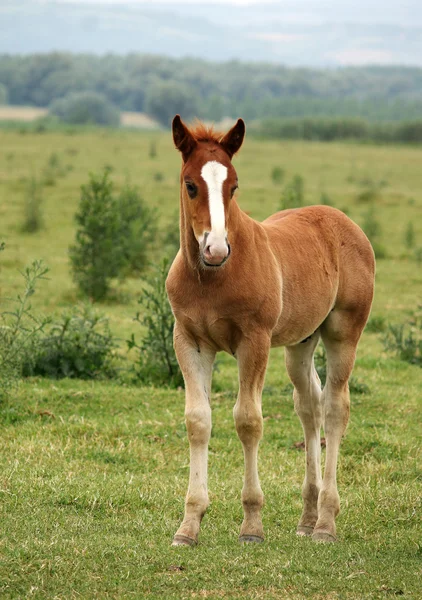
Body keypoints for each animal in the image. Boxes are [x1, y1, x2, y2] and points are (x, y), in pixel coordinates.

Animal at [166, 115, 374, 548]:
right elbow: (198, 420)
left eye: (234, 186)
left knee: (335, 408)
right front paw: (189, 525)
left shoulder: (254, 341)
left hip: (344, 332)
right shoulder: (189, 341)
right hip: (300, 343)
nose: (215, 249)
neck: (211, 279)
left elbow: (248, 421)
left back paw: (325, 523)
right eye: (191, 184)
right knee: (309, 405)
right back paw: (307, 518)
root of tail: (345, 222)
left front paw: (251, 526)